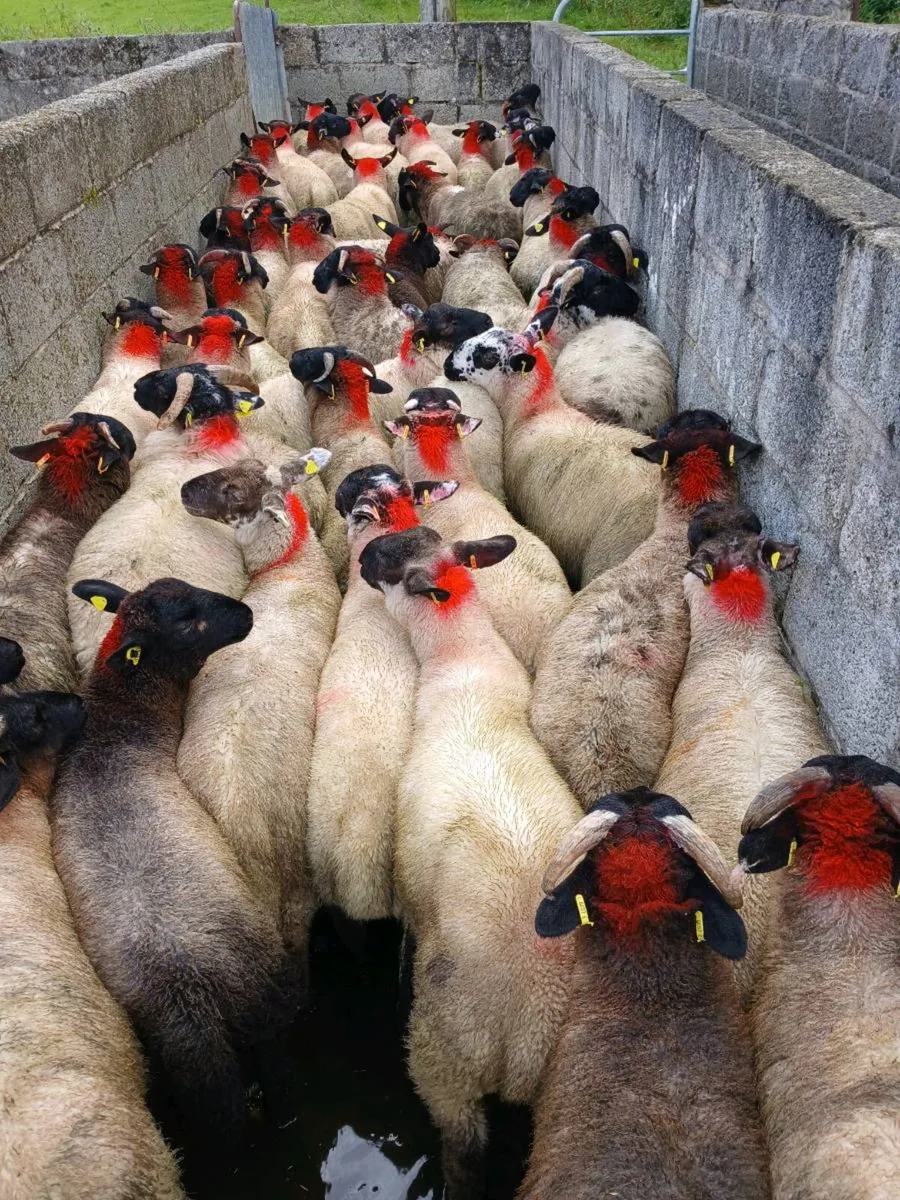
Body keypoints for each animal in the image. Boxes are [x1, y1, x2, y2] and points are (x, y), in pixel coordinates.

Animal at [358, 525, 582, 1199]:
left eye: (391, 567)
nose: (360, 557)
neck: (462, 663)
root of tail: (526, 1031)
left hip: (444, 1062)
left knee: (464, 1150)